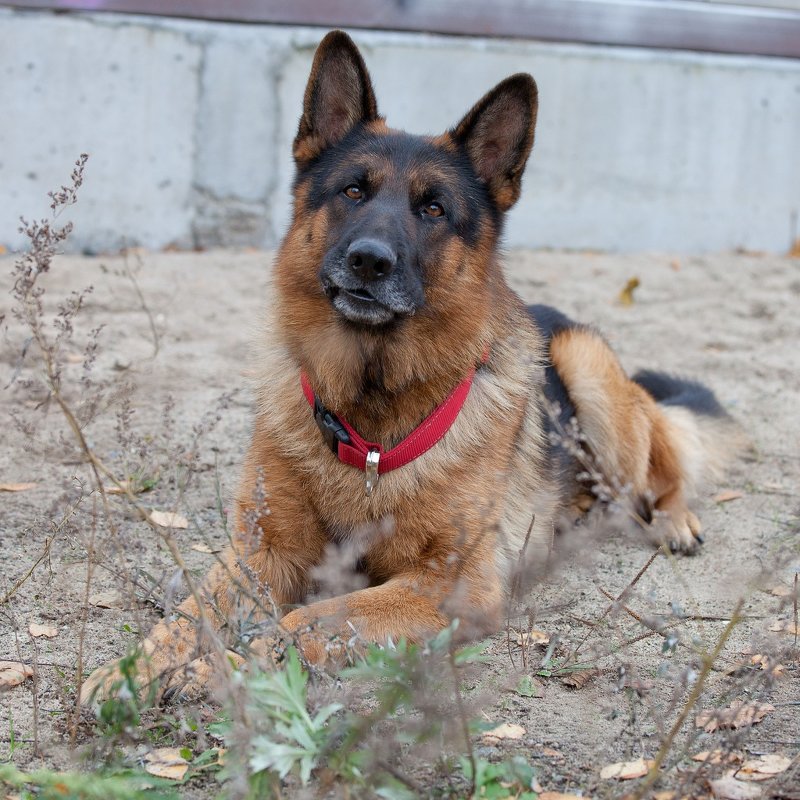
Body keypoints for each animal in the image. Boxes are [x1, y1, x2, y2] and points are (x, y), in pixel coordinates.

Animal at [79, 31, 736, 704]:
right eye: (352, 191)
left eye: (434, 209)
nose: (369, 261)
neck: (370, 421)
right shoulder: (259, 553)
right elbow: (192, 613)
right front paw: (136, 669)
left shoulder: (449, 585)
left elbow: (308, 620)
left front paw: (226, 670)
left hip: (587, 367)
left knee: (660, 470)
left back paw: (675, 519)